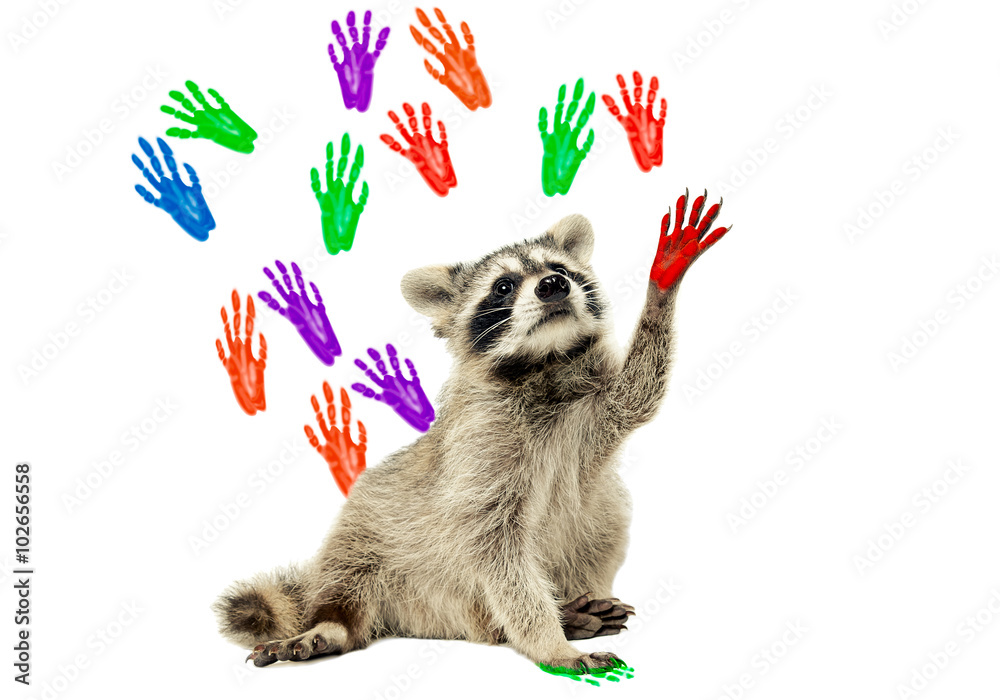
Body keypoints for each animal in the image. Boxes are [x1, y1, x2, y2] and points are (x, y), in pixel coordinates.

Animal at [214, 191, 730, 672]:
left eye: (559, 269)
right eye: (503, 286)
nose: (554, 285)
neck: (544, 365)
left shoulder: (592, 415)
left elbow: (639, 391)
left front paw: (663, 284)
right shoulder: (480, 450)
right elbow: (494, 549)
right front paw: (550, 644)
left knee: (606, 517)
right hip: (368, 535)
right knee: (351, 578)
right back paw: (333, 624)